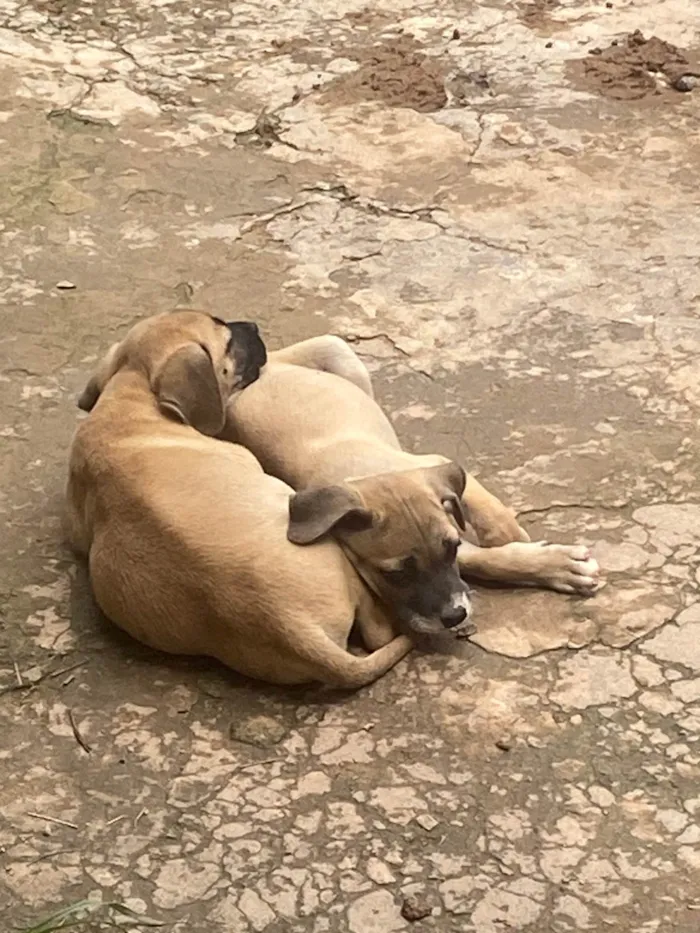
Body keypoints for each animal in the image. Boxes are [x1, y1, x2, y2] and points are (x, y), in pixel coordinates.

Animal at [64, 312, 422, 684]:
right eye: (227, 341)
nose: (253, 326)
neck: (132, 394)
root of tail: (294, 630)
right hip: (335, 551)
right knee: (378, 631)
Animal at [224, 334, 600, 620]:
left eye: (450, 548)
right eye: (396, 574)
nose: (455, 617)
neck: (370, 473)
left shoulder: (435, 468)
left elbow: (481, 512)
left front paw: (508, 535)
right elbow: (481, 559)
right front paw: (552, 565)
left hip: (340, 353)